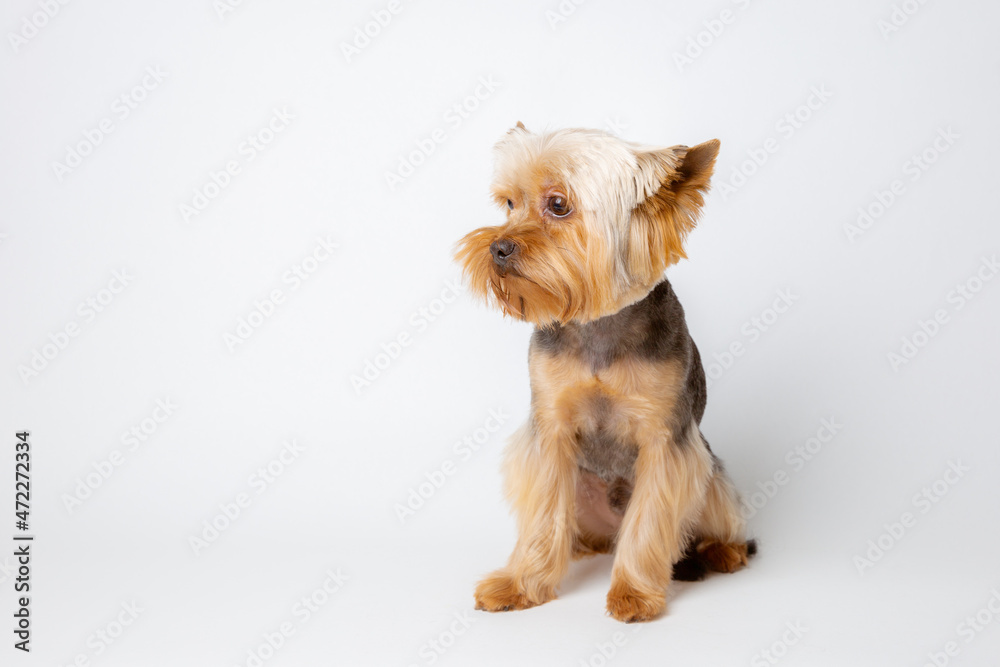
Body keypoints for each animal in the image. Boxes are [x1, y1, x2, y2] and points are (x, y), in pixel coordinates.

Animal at [456, 122, 756, 624]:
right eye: (509, 204)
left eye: (559, 204)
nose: (497, 247)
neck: (597, 324)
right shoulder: (550, 432)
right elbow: (542, 515)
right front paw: (522, 584)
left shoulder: (664, 442)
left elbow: (650, 520)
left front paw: (634, 594)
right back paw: (578, 547)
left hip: (710, 477)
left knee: (718, 517)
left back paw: (722, 551)